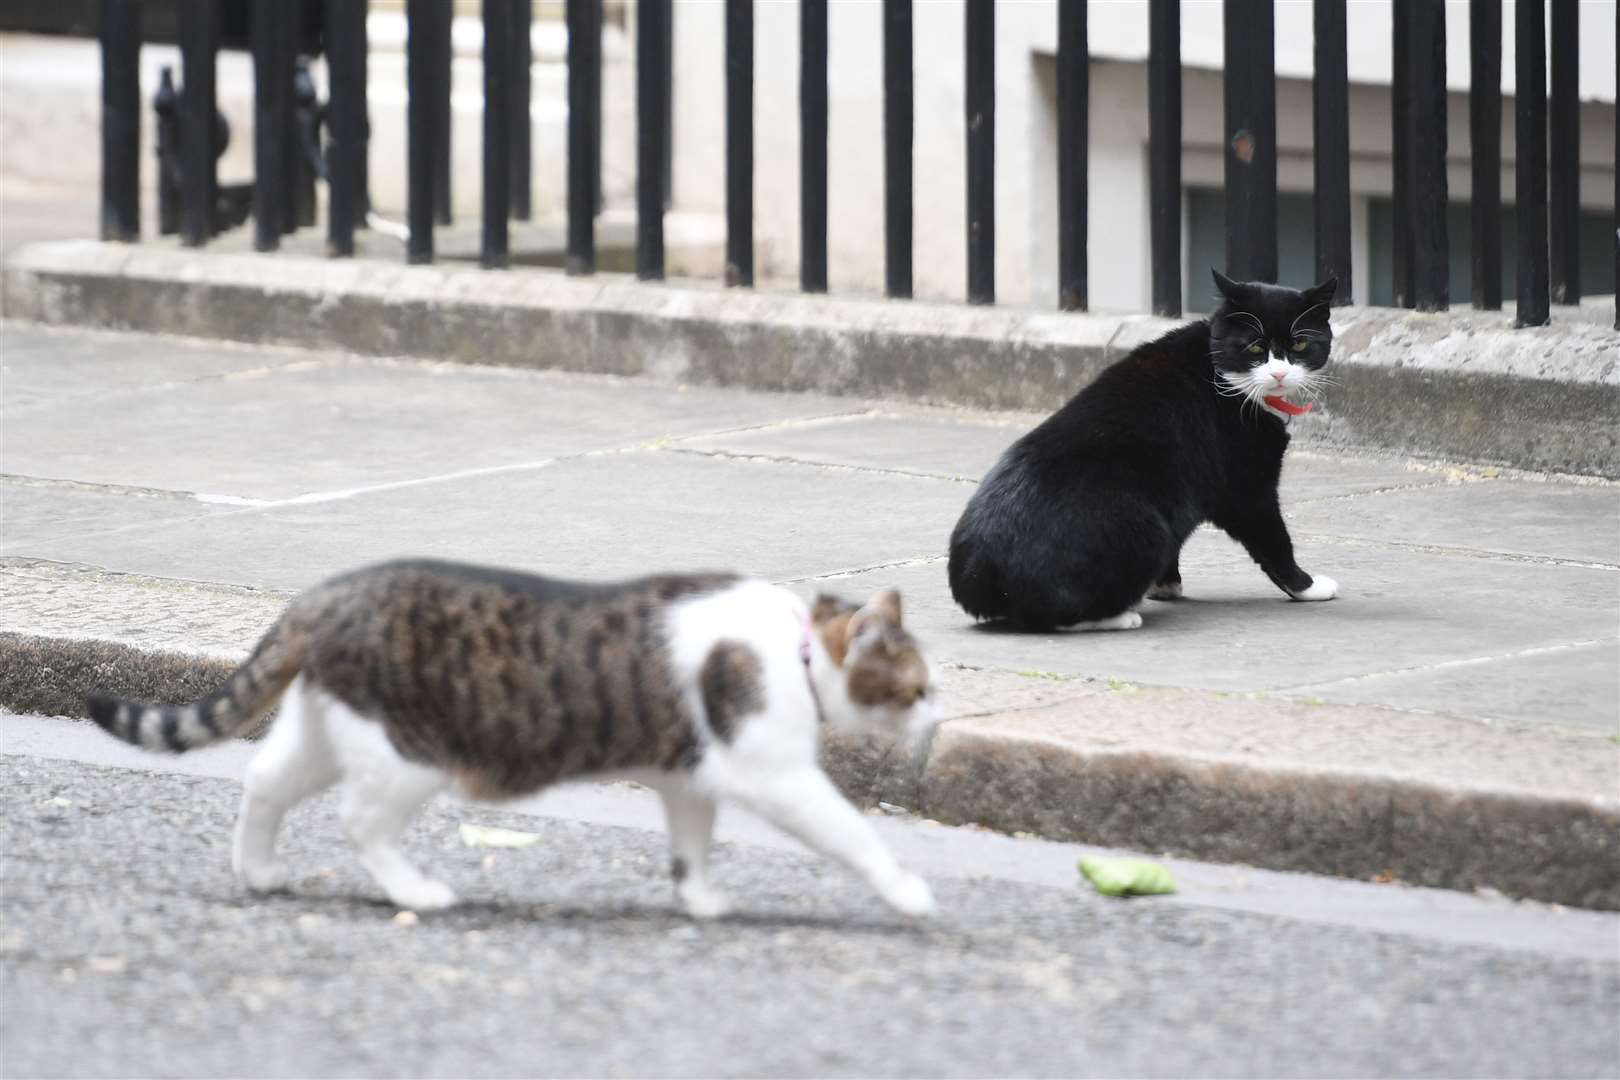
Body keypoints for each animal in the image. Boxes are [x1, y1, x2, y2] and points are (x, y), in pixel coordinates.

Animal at [88, 557, 946, 919]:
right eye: (918, 687)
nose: (940, 716)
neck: (796, 646)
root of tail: (322, 597)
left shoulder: (689, 778)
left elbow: (691, 845)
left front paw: (700, 900)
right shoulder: (774, 775)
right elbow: (852, 832)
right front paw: (909, 892)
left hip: (330, 732)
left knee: (264, 780)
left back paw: (261, 872)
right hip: (409, 752)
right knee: (360, 822)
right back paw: (417, 893)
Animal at [946, 270, 1341, 634]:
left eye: (1300, 345)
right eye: (1255, 348)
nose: (1279, 375)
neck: (1223, 377)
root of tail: (979, 571)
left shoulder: (1183, 490)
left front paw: (1165, 585)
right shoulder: (1246, 486)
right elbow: (1273, 539)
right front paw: (1306, 586)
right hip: (1145, 526)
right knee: (1054, 616)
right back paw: (1119, 616)